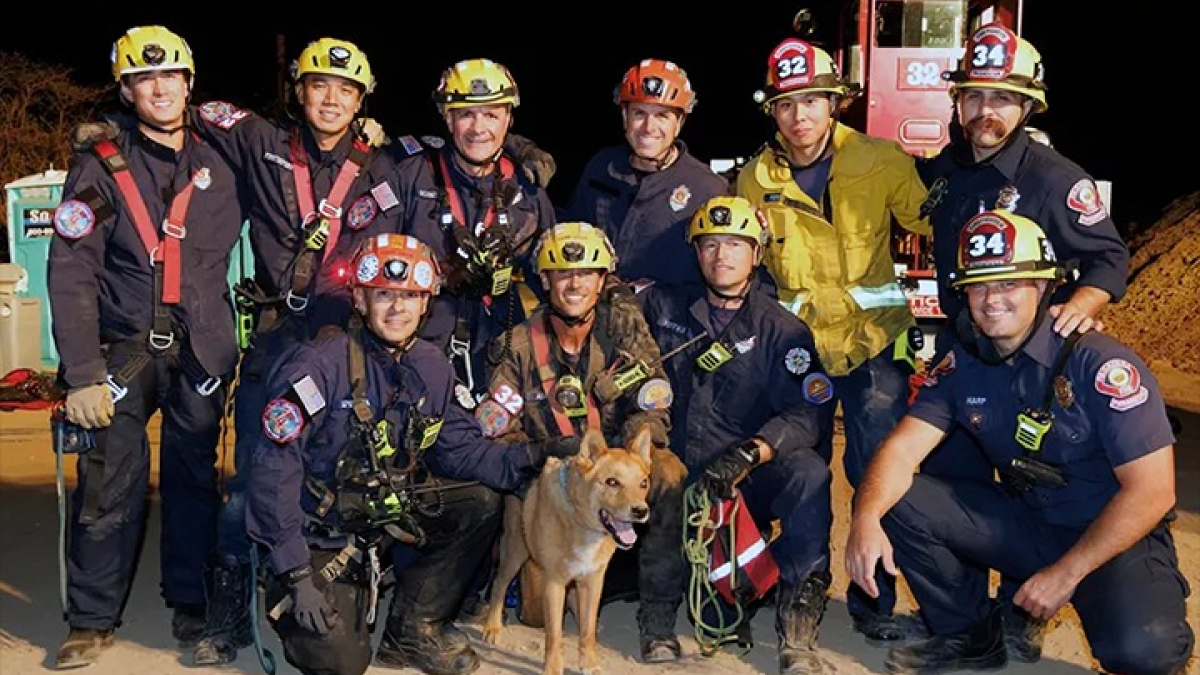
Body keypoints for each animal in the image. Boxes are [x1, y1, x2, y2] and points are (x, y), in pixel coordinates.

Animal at [480, 425, 657, 672]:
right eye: (612, 482)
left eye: (643, 483)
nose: (641, 511)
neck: (581, 524)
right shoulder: (554, 584)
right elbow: (554, 636)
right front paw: (553, 669)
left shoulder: (593, 581)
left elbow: (587, 632)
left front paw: (589, 664)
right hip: (516, 550)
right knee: (499, 584)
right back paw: (493, 626)